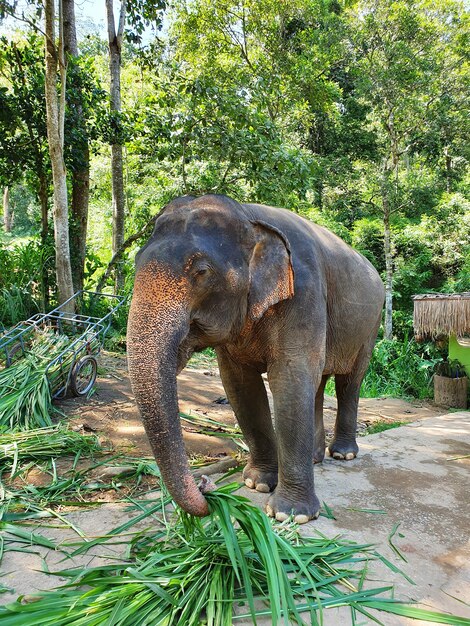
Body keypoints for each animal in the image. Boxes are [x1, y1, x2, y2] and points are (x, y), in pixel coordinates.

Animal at [126, 194, 384, 520]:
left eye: (202, 272)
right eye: (136, 262)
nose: (206, 487)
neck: (249, 215)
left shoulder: (305, 291)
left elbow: (289, 377)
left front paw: (291, 514)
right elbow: (241, 386)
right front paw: (258, 484)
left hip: (370, 325)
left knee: (349, 382)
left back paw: (343, 454)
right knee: (318, 384)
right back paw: (315, 457)